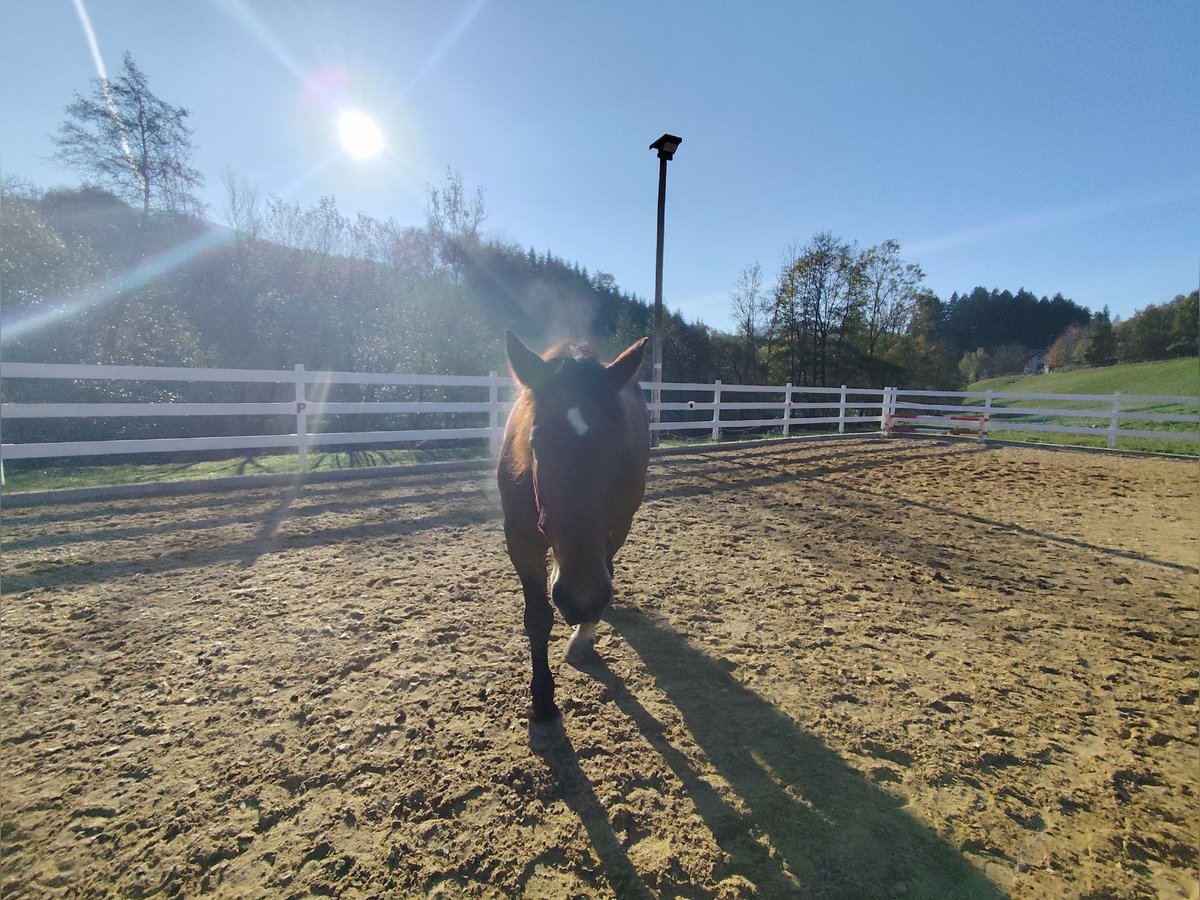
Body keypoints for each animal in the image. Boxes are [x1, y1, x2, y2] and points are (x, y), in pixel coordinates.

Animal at [494, 336, 648, 748]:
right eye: (536, 442)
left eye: (620, 442)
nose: (580, 600)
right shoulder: (520, 540)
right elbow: (537, 618)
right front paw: (544, 707)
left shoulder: (613, 530)